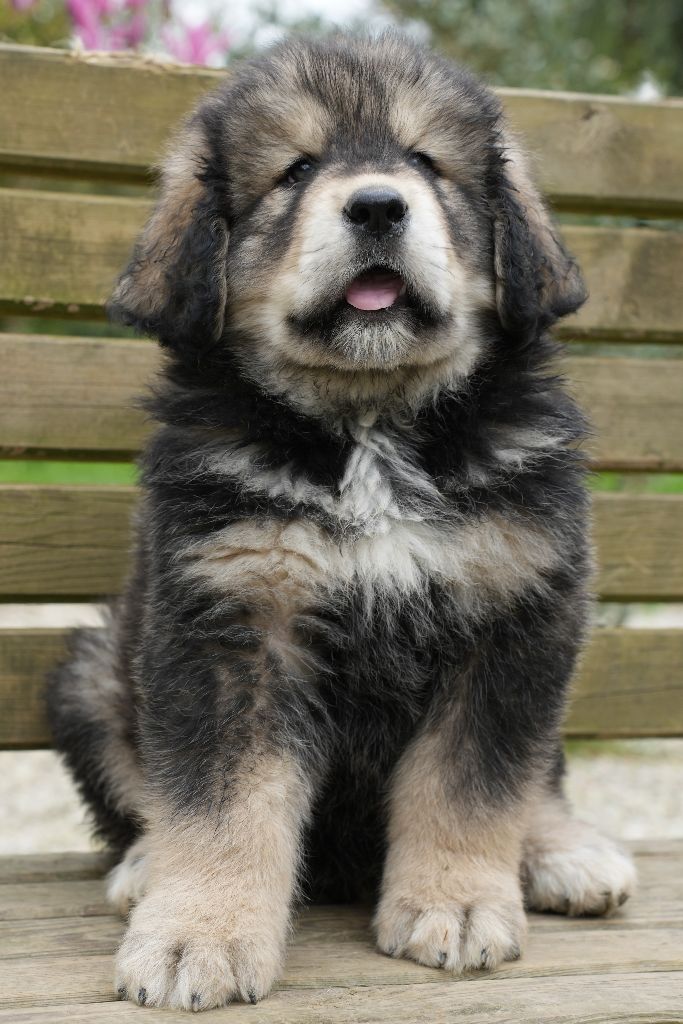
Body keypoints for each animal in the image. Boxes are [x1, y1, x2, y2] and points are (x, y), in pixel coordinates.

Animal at [47, 32, 636, 1011]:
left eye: (426, 163)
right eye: (295, 169)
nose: (376, 205)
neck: (370, 422)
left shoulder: (515, 615)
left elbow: (473, 782)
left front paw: (455, 904)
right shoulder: (229, 626)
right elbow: (221, 801)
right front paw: (196, 934)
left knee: (539, 777)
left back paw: (564, 855)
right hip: (92, 676)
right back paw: (144, 868)